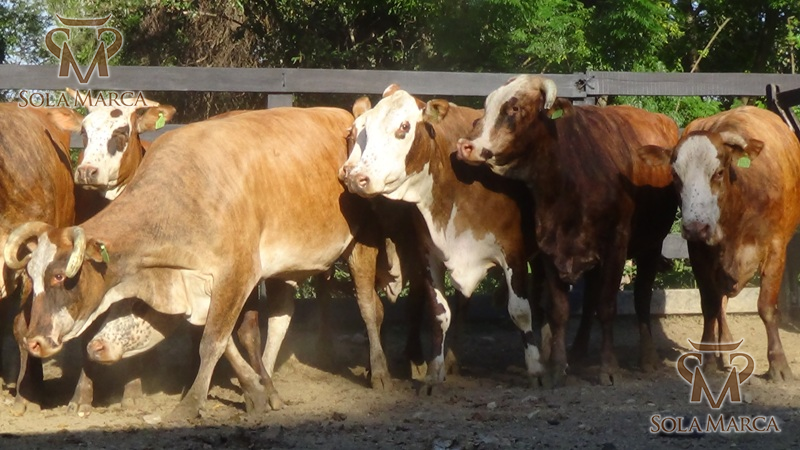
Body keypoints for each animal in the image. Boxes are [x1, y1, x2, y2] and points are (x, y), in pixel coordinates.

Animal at [339, 88, 540, 387]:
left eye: (404, 127)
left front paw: (536, 369)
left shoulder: (512, 252)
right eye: (356, 133)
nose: (355, 177)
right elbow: (427, 312)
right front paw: (429, 370)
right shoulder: (423, 253)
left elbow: (520, 311)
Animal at [456, 75, 679, 385]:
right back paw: (579, 351)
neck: (568, 179)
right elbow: (560, 310)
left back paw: (647, 358)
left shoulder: (616, 246)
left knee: (641, 298)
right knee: (590, 299)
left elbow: (608, 307)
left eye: (515, 108)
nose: (467, 146)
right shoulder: (551, 249)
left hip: (651, 245)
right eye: (488, 105)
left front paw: (608, 367)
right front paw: (558, 366)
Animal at [635, 106, 800, 381]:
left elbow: (766, 307)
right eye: (675, 175)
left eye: (719, 172)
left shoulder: (776, 249)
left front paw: (778, 364)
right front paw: (709, 358)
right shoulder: (699, 254)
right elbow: (710, 305)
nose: (695, 227)